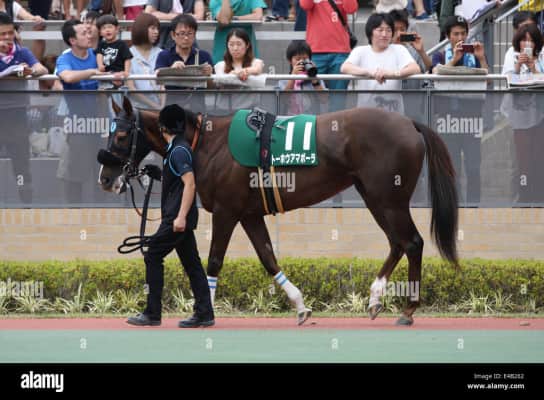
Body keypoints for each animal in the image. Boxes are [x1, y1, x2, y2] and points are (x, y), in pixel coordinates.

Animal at [98, 96, 458, 326]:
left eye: (121, 134)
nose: (105, 178)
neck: (208, 144)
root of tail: (409, 123)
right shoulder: (249, 214)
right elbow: (268, 257)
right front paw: (300, 307)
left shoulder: (227, 212)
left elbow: (213, 261)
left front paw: (204, 313)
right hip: (374, 196)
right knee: (398, 243)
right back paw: (375, 299)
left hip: (388, 198)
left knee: (412, 242)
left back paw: (408, 310)